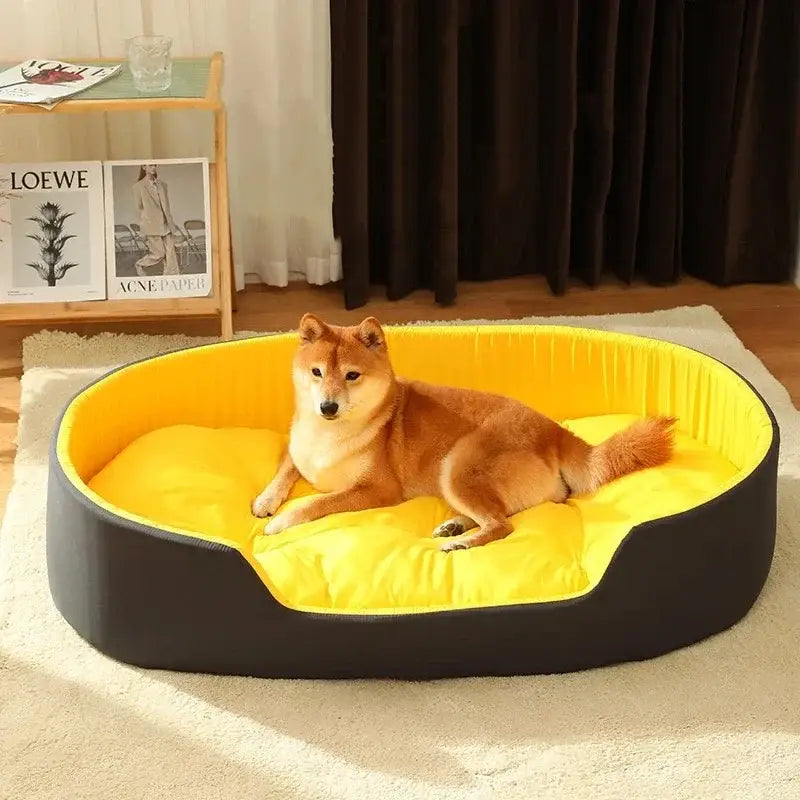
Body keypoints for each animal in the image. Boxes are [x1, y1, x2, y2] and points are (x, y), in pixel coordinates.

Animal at [250, 312, 676, 552]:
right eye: (316, 372)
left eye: (352, 376)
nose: (327, 407)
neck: (331, 435)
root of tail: (554, 432)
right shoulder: (298, 450)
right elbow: (286, 468)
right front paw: (266, 500)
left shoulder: (377, 491)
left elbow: (316, 504)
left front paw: (280, 521)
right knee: (500, 513)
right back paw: (457, 525)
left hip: (456, 466)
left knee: (502, 525)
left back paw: (462, 541)